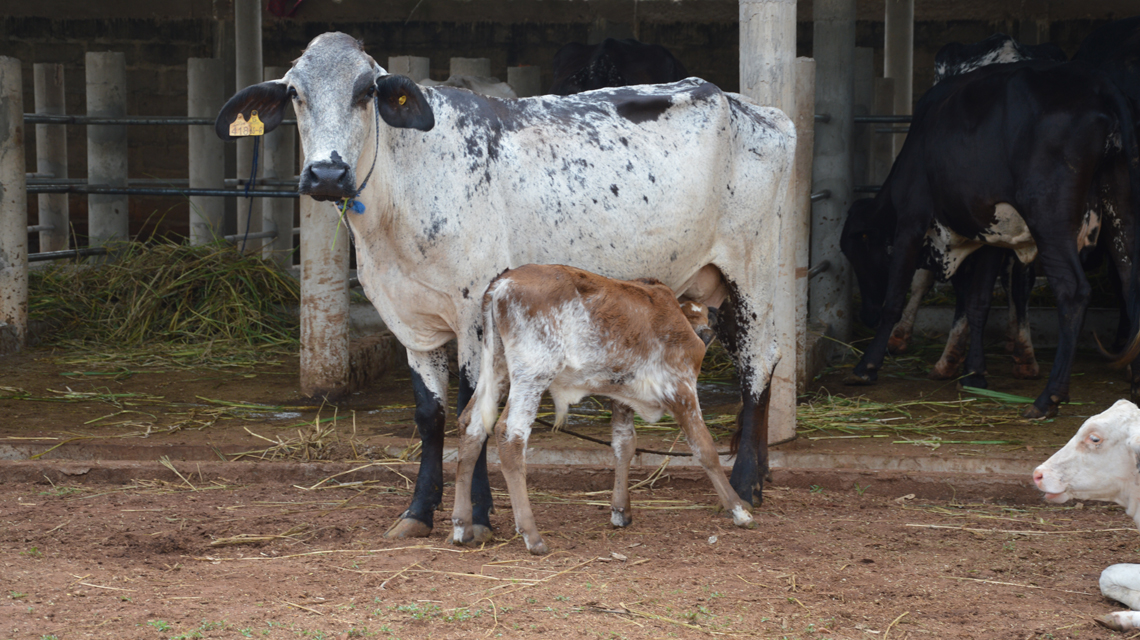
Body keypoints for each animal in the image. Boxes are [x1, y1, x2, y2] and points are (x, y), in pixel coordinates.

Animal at [449, 265, 753, 555]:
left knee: (471, 424)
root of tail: (502, 283)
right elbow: (705, 449)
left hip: (497, 367)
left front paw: (621, 511)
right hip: (533, 372)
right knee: (510, 434)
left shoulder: (622, 394)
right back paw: (532, 536)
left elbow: (624, 444)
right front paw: (738, 510)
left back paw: (463, 526)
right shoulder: (681, 387)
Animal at [840, 59, 1140, 420]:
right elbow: (978, 302)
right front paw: (975, 373)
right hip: (1121, 209)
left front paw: (867, 366)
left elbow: (896, 297)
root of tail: (1098, 83)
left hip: (1048, 215)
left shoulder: (911, 221)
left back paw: (1049, 397)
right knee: (1131, 282)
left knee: (1074, 291)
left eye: (856, 252)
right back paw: (1135, 383)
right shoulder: (989, 238)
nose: (865, 316)